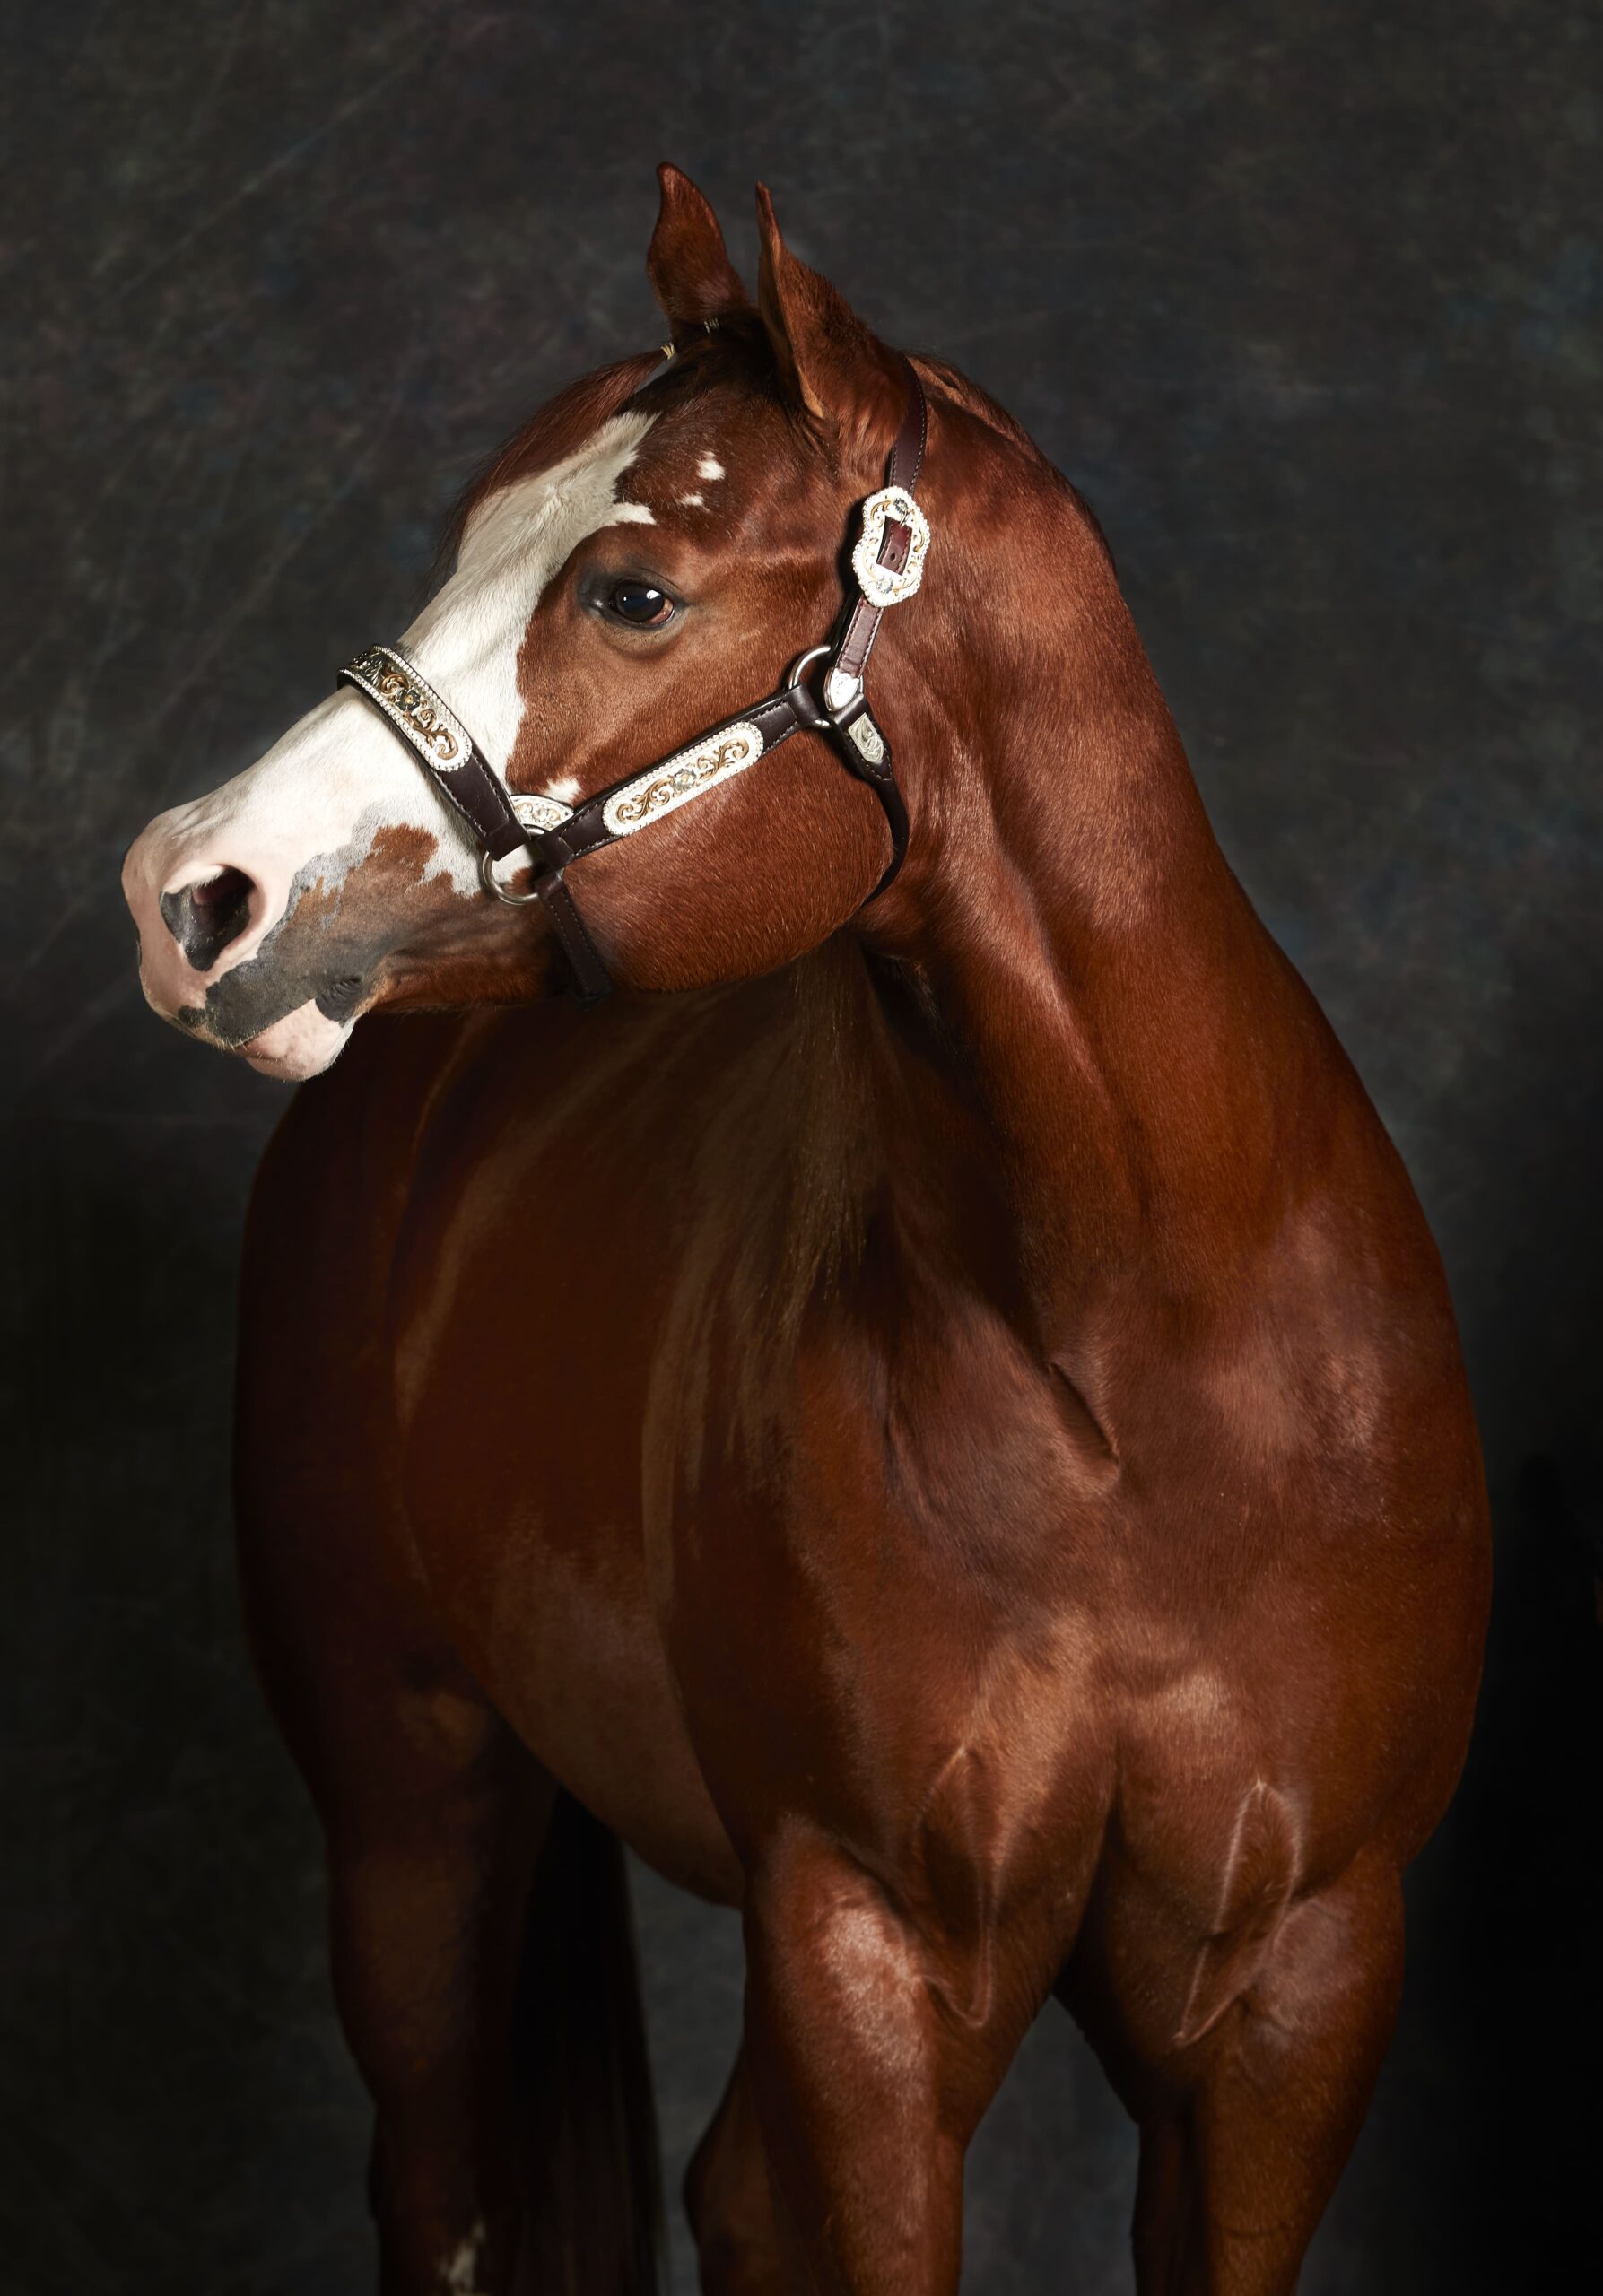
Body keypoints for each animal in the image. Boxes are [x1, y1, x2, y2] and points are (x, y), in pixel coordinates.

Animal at [121, 166, 1490, 2295]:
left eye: (630, 591)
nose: (191, 887)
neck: (1142, 1377)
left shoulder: (1294, 1989)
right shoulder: (866, 1955)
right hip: (414, 1808)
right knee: (446, 2195)